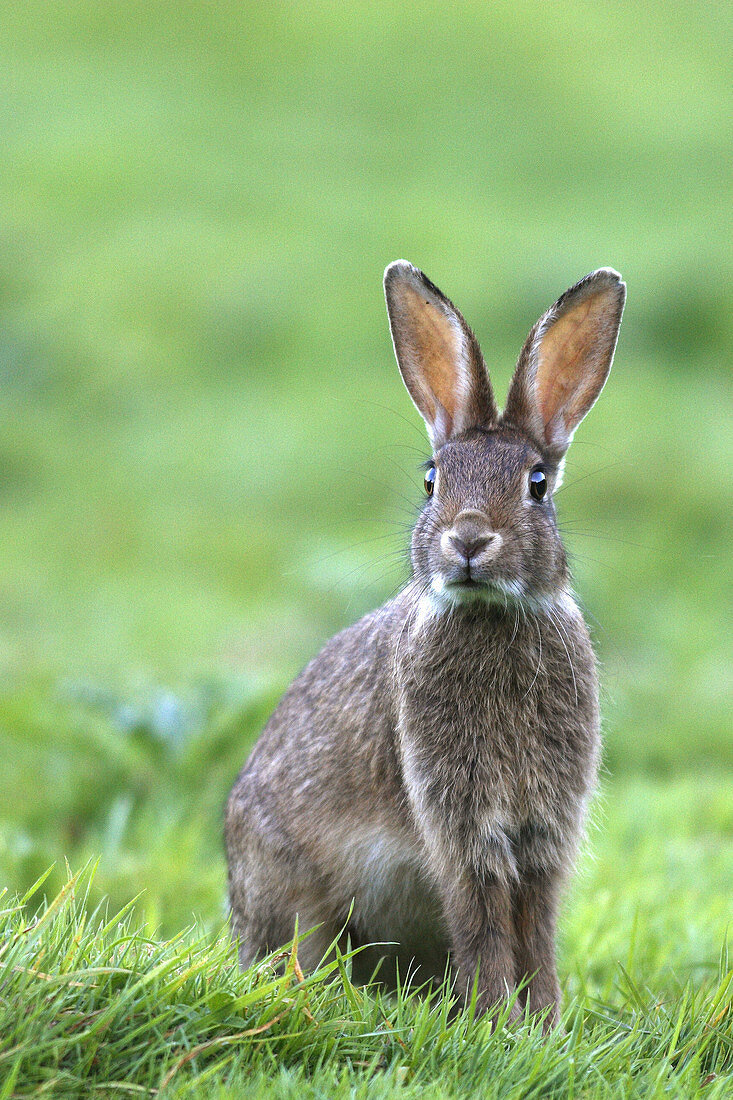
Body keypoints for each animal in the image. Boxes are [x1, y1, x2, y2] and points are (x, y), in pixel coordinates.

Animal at [222, 261, 620, 1025]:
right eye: (432, 479)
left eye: (536, 484)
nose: (467, 540)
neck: (490, 615)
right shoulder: (459, 823)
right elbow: (484, 921)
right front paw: (498, 1022)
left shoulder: (541, 831)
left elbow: (535, 925)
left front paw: (543, 1023)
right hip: (297, 891)